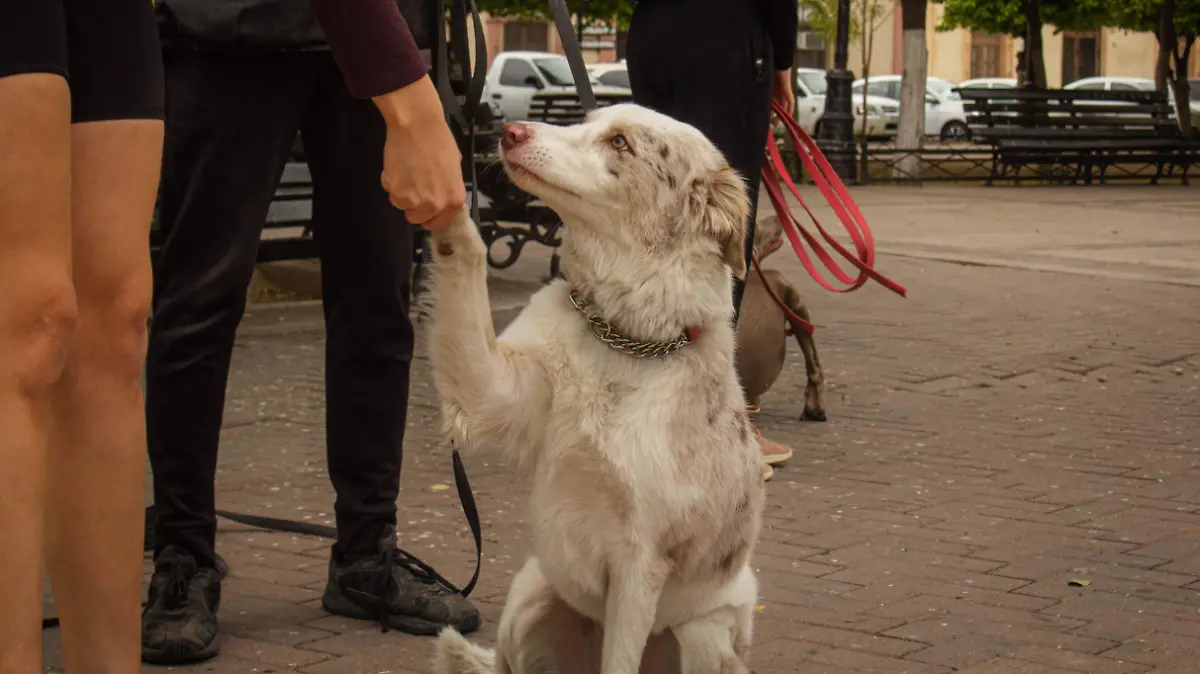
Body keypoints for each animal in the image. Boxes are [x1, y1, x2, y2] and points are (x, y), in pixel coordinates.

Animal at [427, 104, 763, 671]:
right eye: (586, 121)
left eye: (621, 142)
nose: (510, 132)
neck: (624, 342)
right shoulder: (491, 390)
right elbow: (466, 266)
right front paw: (443, 190)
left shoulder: (638, 565)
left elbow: (620, 659)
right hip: (532, 597)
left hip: (704, 635)